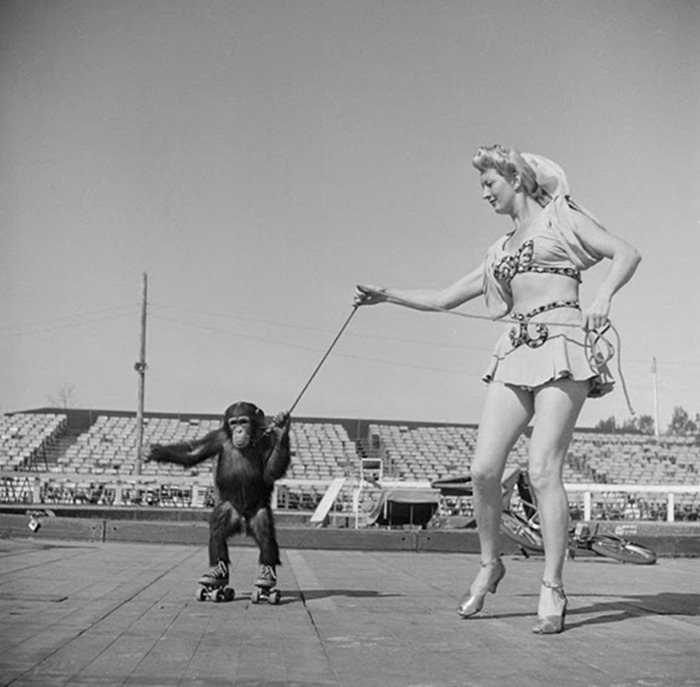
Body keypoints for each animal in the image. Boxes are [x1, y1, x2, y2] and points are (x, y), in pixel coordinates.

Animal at [145, 404, 290, 592]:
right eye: (234, 423)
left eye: (244, 421)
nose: (239, 430)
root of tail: (242, 519)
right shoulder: (217, 438)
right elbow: (192, 452)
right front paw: (155, 452)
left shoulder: (268, 440)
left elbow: (269, 472)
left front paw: (282, 429)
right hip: (230, 509)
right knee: (218, 529)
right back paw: (217, 576)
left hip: (256, 510)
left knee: (264, 530)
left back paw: (266, 577)